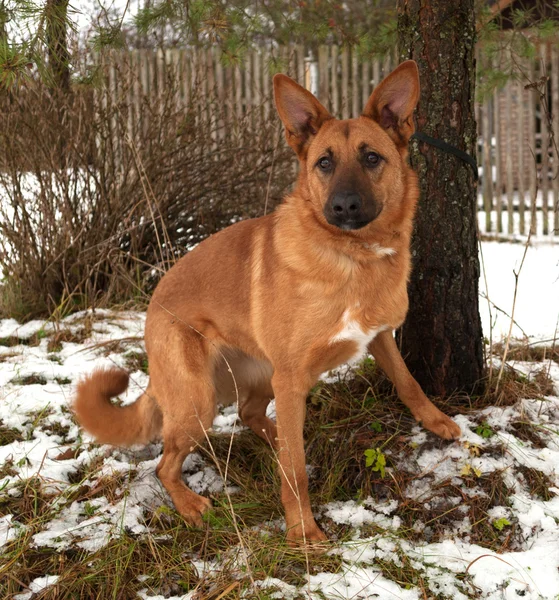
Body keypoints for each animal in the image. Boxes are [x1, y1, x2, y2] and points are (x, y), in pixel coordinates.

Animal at [73, 61, 460, 544]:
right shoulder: (292, 378)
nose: (343, 206)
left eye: (372, 158)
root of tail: (153, 305)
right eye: (324, 163)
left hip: (261, 376)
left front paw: (435, 420)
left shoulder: (379, 337)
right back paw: (191, 505)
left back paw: (276, 438)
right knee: (164, 465)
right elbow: (294, 473)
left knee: (250, 414)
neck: (353, 258)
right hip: (201, 400)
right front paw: (303, 534)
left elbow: (409, 383)